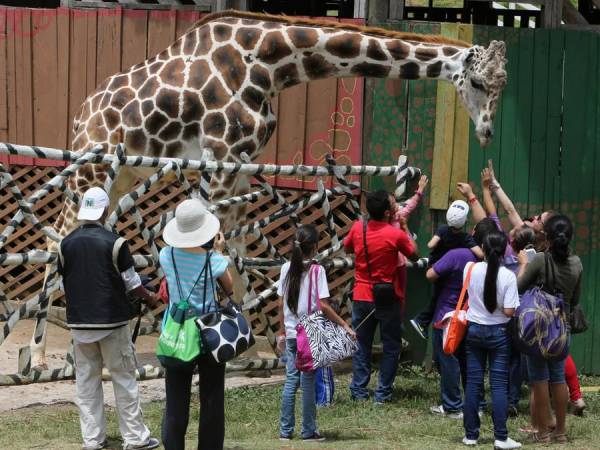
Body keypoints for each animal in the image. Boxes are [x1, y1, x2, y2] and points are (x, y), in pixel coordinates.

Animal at [28, 10, 506, 370]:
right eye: (478, 82)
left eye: (502, 84)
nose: (486, 133)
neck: (270, 64)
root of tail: (82, 114)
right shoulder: (220, 158)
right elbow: (214, 248)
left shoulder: (241, 163)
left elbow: (236, 254)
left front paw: (243, 351)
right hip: (91, 167)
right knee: (57, 236)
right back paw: (38, 356)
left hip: (123, 172)